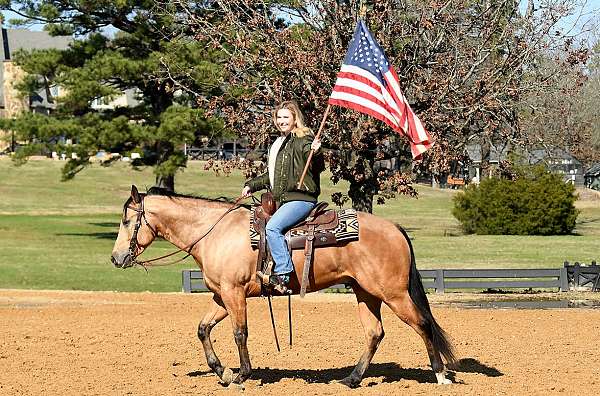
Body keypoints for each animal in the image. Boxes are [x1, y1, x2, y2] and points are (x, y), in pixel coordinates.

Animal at [111, 185, 454, 386]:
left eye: (127, 221)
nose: (116, 258)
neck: (215, 232)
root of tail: (395, 228)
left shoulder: (235, 293)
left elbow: (239, 333)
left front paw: (241, 374)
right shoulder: (221, 295)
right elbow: (203, 329)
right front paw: (221, 371)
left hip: (393, 294)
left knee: (422, 324)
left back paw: (440, 375)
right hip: (365, 293)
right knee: (374, 333)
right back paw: (351, 379)